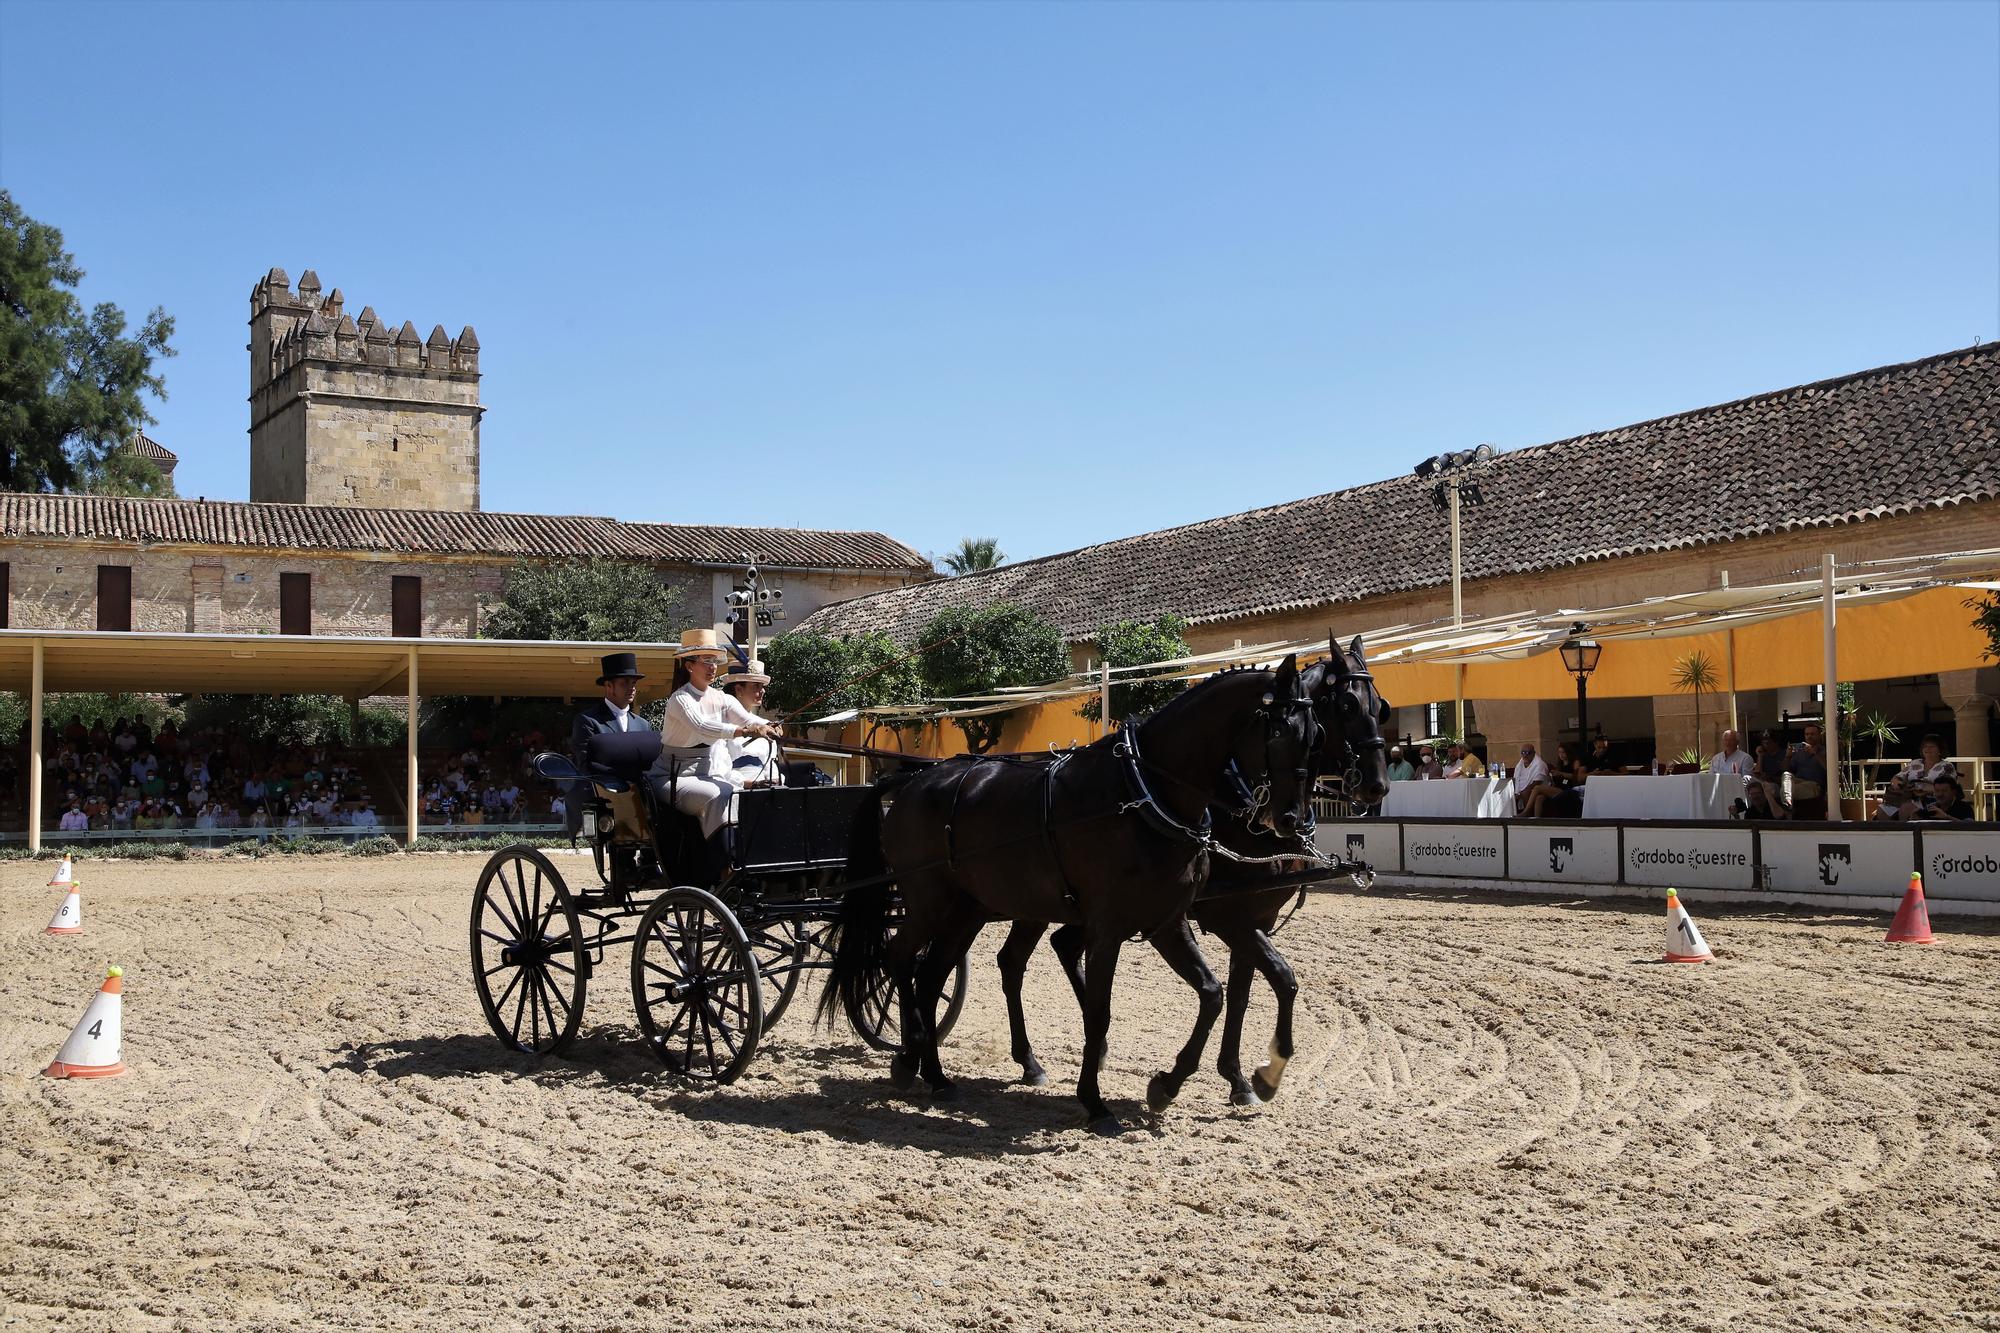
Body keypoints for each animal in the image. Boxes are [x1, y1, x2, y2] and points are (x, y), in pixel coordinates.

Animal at [988, 632, 1392, 1096]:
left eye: (1381, 706)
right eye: (1346, 705)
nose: (1377, 786)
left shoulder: (1257, 916)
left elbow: (1251, 989)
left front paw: (1238, 1076)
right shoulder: (1225, 915)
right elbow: (1274, 978)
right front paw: (1254, 1071)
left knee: (1060, 947)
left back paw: (1091, 1049)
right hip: (1036, 902)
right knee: (1013, 961)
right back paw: (1030, 1059)